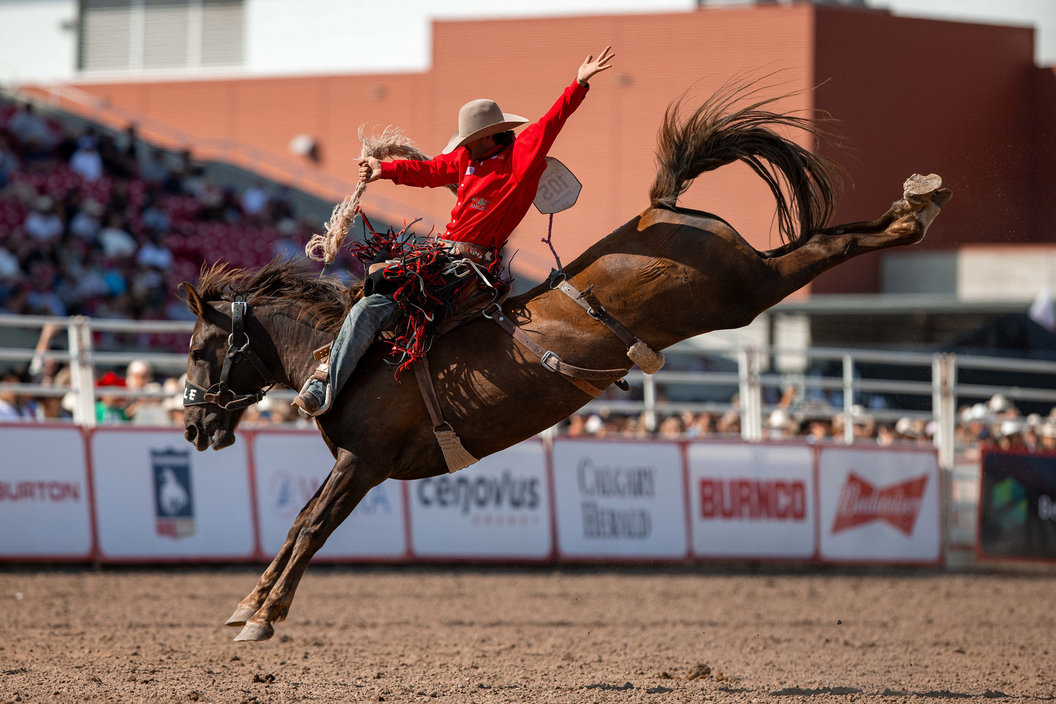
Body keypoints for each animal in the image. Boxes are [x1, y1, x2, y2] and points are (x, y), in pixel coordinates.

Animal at [179, 81, 950, 637]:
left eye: (196, 348)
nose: (189, 426)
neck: (345, 354)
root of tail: (660, 208)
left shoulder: (363, 462)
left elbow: (310, 526)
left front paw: (262, 617)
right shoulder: (355, 466)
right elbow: (298, 523)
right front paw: (247, 605)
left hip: (744, 291)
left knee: (825, 246)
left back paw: (916, 211)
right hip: (746, 282)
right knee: (824, 238)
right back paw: (916, 202)